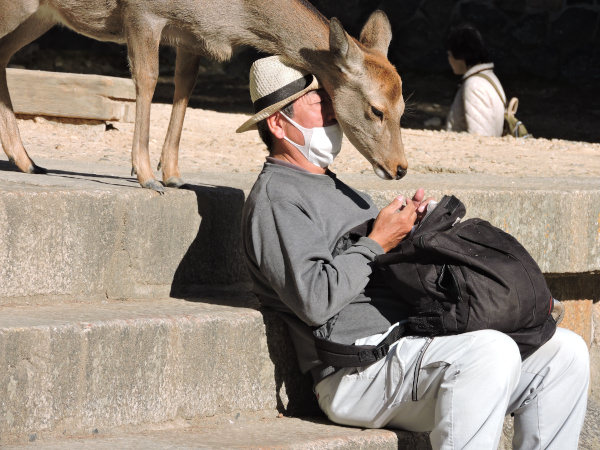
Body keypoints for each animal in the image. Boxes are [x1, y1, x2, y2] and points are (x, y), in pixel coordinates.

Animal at [0, 0, 408, 192]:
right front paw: (145, 175)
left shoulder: (189, 36)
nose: (400, 168)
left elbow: (185, 88)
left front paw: (174, 175)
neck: (233, 17)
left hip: (39, 15)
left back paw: (28, 161)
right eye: (376, 109)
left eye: (404, 106)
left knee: (3, 54)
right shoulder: (143, 14)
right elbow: (148, 80)